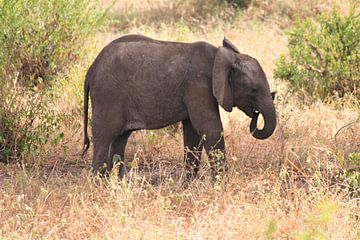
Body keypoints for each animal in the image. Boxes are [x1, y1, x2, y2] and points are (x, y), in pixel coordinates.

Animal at [83, 33, 278, 180]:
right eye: (253, 89)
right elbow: (210, 128)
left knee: (120, 139)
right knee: (104, 137)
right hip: (107, 95)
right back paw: (99, 185)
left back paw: (118, 183)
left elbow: (193, 133)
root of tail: (91, 69)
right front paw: (222, 184)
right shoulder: (198, 85)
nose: (256, 114)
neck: (220, 57)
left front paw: (187, 185)